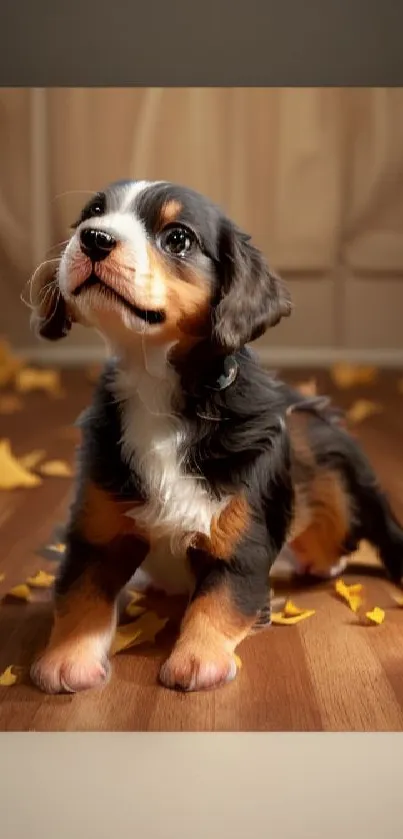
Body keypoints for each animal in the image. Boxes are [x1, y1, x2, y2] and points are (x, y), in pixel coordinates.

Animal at [28, 179, 403, 696]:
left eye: (178, 239)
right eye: (92, 215)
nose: (94, 239)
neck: (156, 388)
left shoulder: (241, 541)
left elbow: (218, 600)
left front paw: (197, 659)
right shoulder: (97, 532)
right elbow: (80, 592)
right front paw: (66, 660)